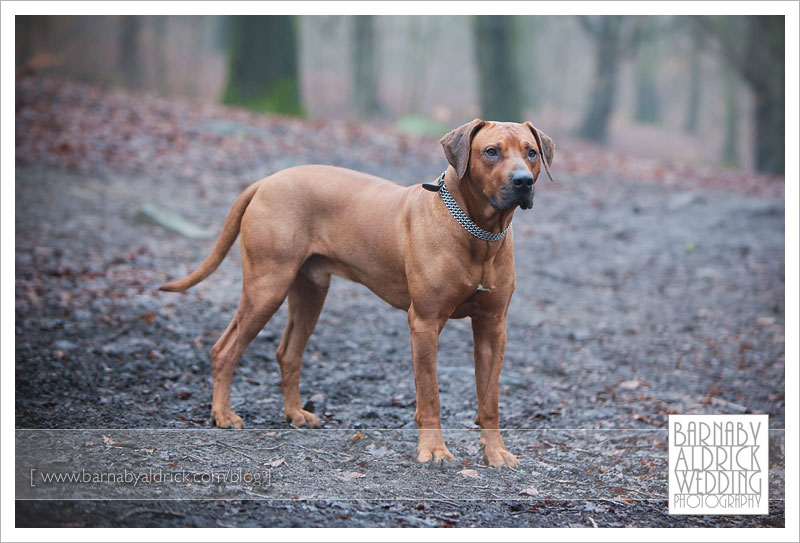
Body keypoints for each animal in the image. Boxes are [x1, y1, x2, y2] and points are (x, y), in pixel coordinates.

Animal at [159, 119, 552, 468]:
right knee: (224, 349)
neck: (479, 233)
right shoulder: (424, 323)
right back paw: (223, 415)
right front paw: (434, 451)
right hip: (266, 285)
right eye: (491, 151)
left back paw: (295, 413)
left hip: (310, 291)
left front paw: (495, 453)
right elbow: (430, 396)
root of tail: (266, 181)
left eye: (531, 152)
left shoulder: (493, 326)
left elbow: (490, 400)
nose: (523, 181)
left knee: (288, 353)